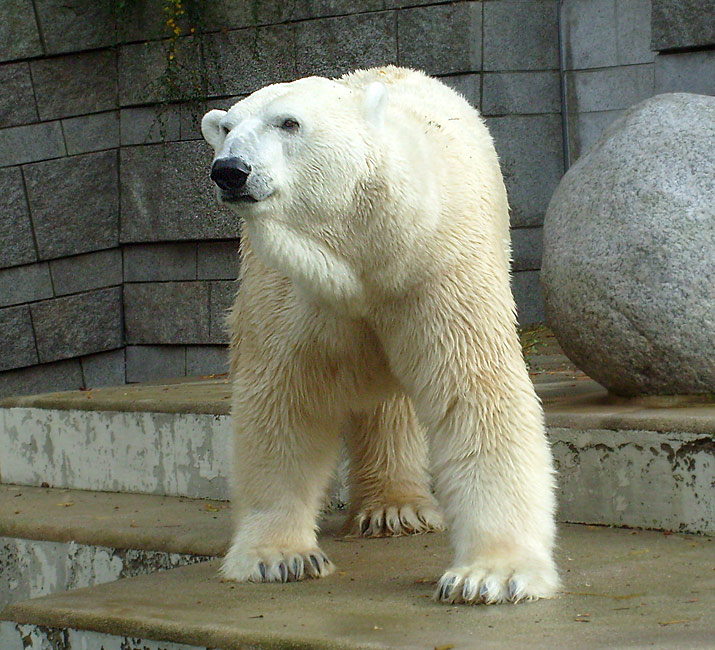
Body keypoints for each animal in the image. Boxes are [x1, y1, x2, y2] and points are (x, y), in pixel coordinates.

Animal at [201, 66, 560, 604]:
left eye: (289, 122)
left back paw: (397, 508)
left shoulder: (436, 267)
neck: (366, 246)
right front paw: (279, 557)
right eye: (226, 128)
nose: (230, 170)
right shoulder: (292, 285)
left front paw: (491, 574)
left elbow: (473, 390)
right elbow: (283, 400)